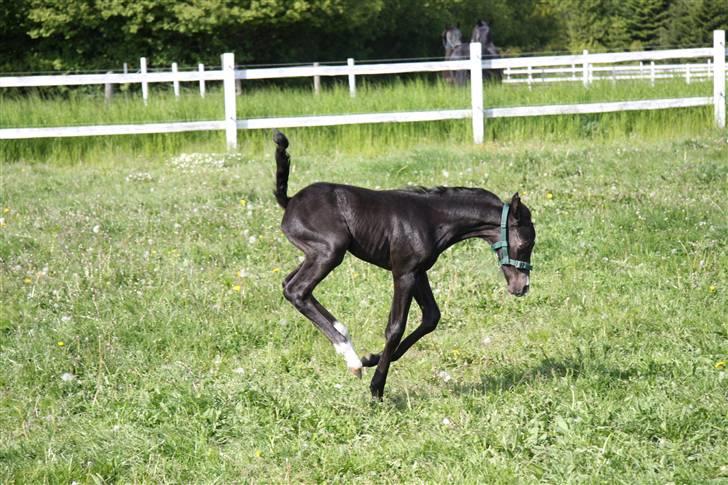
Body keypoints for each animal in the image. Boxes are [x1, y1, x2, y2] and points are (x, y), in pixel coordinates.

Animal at [272, 130, 536, 398]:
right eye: (526, 243)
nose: (522, 287)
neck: (432, 219)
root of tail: (290, 201)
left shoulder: (419, 272)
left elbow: (431, 317)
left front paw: (372, 358)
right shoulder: (404, 273)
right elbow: (395, 327)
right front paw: (376, 387)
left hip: (315, 253)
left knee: (288, 285)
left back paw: (346, 339)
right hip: (330, 250)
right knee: (297, 290)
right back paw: (351, 358)